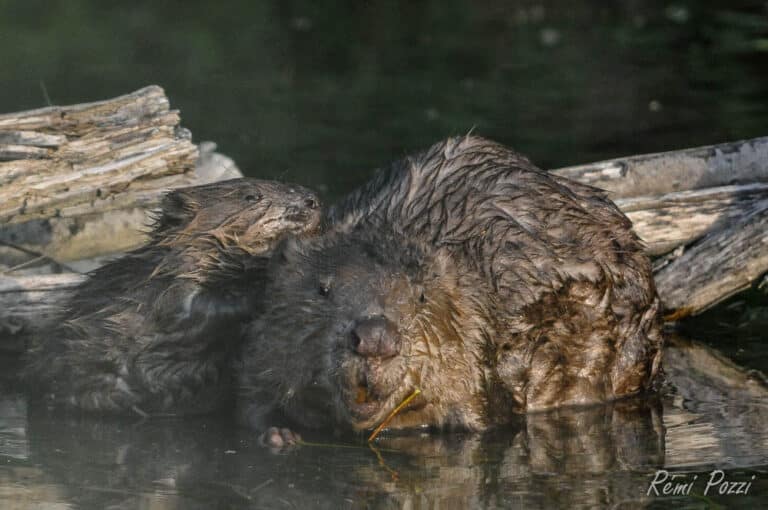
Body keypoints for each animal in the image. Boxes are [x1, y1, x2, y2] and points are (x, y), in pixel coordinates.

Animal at [238, 136, 660, 442]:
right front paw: (280, 435)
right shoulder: (261, 348)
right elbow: (251, 399)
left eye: (421, 296)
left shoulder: (477, 358)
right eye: (322, 289)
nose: (375, 339)